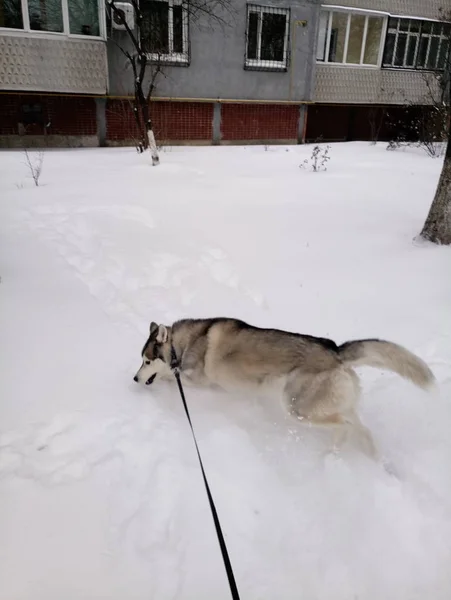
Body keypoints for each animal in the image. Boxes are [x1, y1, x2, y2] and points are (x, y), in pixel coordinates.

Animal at [133, 318, 434, 460]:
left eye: (146, 361)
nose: (135, 379)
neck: (180, 346)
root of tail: (335, 351)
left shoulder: (197, 380)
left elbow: (172, 377)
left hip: (296, 407)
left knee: (345, 425)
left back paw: (334, 449)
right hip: (335, 402)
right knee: (364, 430)